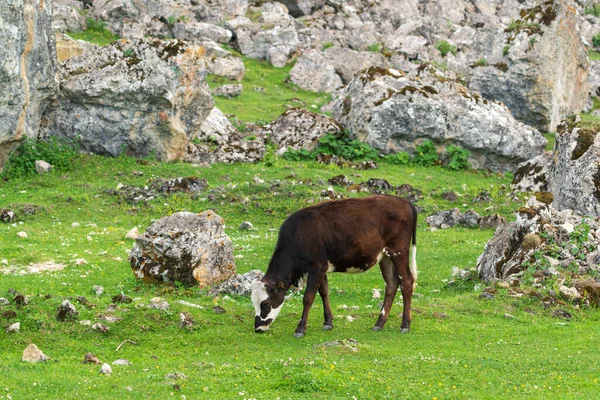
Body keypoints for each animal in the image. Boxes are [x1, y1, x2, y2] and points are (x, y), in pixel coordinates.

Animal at [250, 194, 418, 338]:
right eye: (253, 302)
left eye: (265, 303)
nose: (258, 328)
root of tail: (403, 201)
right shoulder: (321, 267)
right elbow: (324, 292)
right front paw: (328, 322)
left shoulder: (316, 267)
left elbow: (308, 298)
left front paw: (300, 329)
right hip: (385, 256)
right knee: (391, 283)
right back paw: (379, 323)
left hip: (398, 251)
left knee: (406, 281)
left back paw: (405, 325)